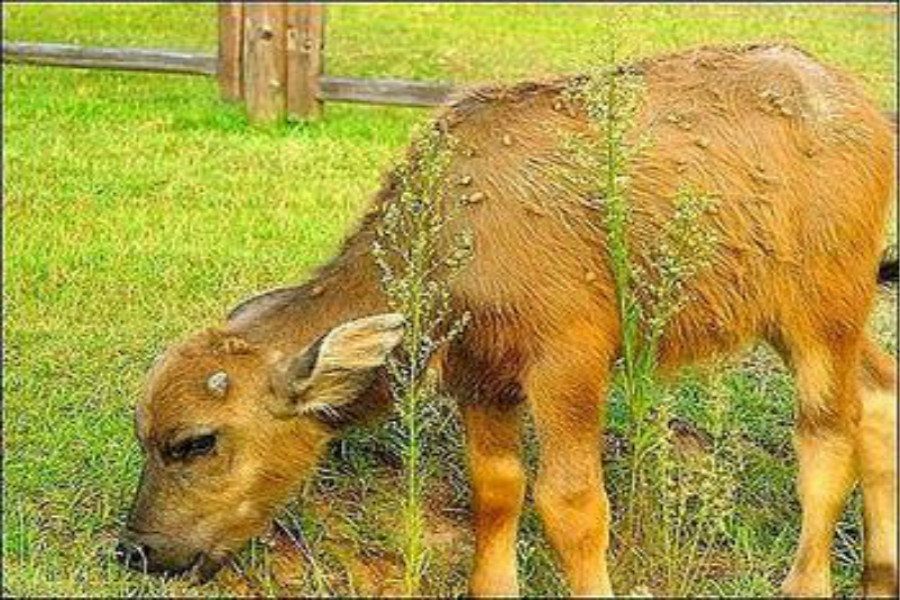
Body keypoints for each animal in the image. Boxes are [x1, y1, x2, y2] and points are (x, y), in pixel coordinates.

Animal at [121, 44, 900, 596]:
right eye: (144, 435)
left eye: (195, 441)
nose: (138, 549)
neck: (451, 234)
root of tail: (859, 108)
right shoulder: (482, 379)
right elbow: (496, 491)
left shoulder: (567, 366)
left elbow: (571, 505)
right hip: (819, 317)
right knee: (879, 397)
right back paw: (878, 577)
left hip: (820, 316)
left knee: (827, 437)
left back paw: (806, 583)